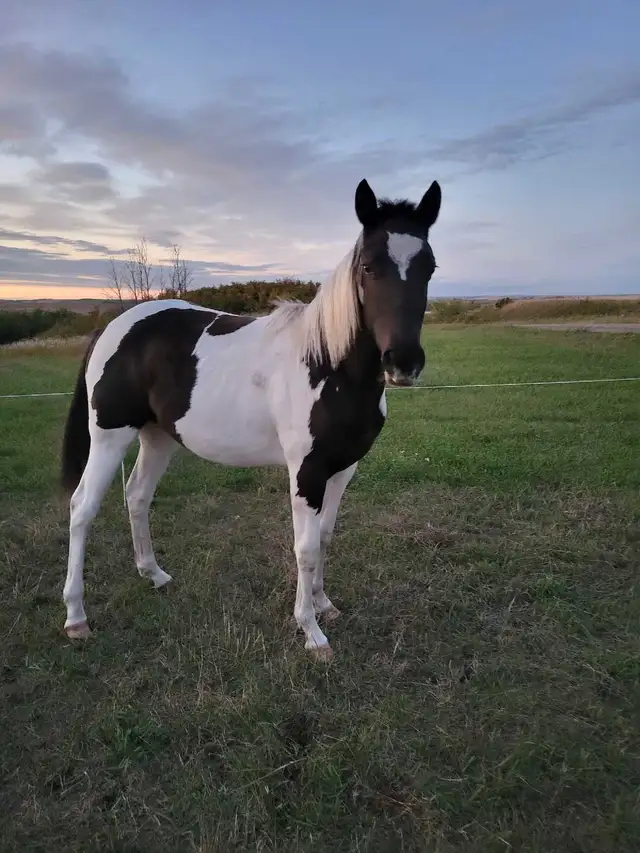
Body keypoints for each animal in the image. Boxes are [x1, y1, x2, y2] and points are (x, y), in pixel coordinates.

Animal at [60, 177, 441, 660]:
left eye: (429, 267)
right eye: (370, 267)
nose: (403, 363)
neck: (328, 366)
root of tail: (113, 326)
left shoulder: (343, 469)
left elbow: (325, 537)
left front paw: (324, 604)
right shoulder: (306, 472)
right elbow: (305, 548)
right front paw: (312, 632)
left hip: (157, 436)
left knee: (137, 496)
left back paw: (155, 575)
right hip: (109, 435)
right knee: (82, 508)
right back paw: (76, 616)